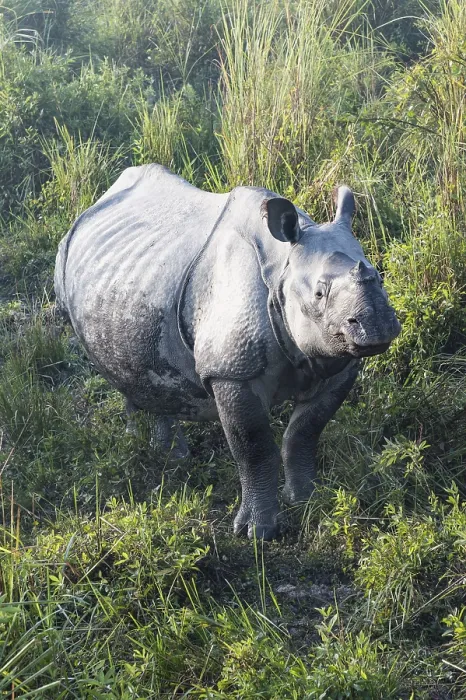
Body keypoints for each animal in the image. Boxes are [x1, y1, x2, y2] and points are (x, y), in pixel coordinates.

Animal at [54, 164, 400, 540]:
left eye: (380, 277)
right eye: (320, 293)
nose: (376, 324)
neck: (283, 267)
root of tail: (97, 202)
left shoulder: (339, 364)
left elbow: (303, 433)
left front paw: (307, 500)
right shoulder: (231, 372)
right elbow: (253, 446)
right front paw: (257, 532)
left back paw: (170, 457)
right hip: (72, 267)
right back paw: (146, 448)